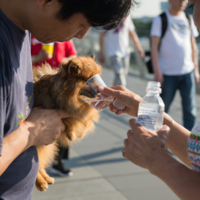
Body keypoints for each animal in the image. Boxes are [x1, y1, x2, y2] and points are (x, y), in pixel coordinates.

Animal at [33, 55, 101, 191]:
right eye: (88, 80)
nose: (101, 90)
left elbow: (86, 122)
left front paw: (80, 132)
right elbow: (69, 121)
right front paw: (72, 134)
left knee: (40, 164)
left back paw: (47, 179)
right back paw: (41, 183)